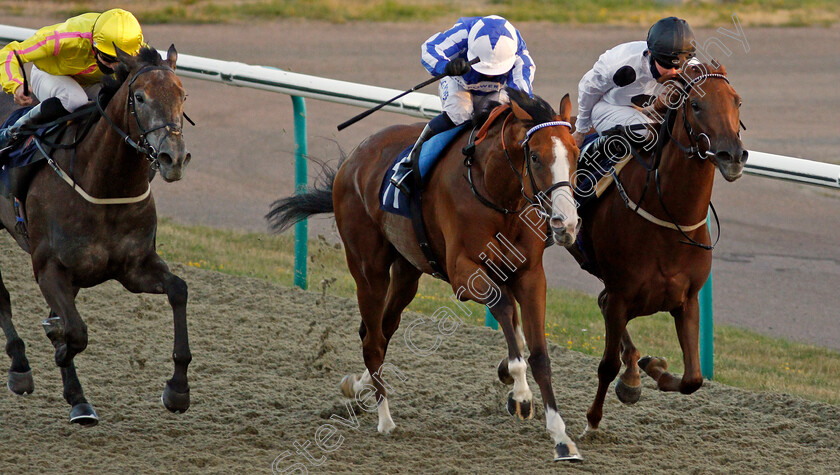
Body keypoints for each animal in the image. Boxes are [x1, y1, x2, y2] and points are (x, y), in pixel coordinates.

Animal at [0, 45, 192, 424]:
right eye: (139, 96)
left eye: (183, 95)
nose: (173, 158)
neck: (105, 184)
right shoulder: (49, 268)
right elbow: (75, 331)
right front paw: (66, 369)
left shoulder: (134, 267)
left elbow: (179, 290)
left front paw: (178, 389)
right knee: (0, 297)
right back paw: (20, 365)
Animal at [270, 88, 584, 462]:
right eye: (535, 157)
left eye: (575, 153)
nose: (566, 224)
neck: (495, 192)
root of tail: (353, 160)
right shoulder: (465, 274)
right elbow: (507, 313)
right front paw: (521, 394)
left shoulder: (530, 276)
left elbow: (538, 353)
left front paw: (561, 437)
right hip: (368, 268)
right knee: (373, 340)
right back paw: (385, 419)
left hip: (407, 271)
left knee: (380, 330)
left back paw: (360, 385)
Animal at [572, 60, 748, 436]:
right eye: (695, 104)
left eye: (737, 101)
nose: (732, 155)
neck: (670, 216)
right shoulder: (623, 293)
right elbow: (606, 365)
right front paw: (592, 421)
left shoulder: (687, 299)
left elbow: (693, 379)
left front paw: (652, 369)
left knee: (602, 303)